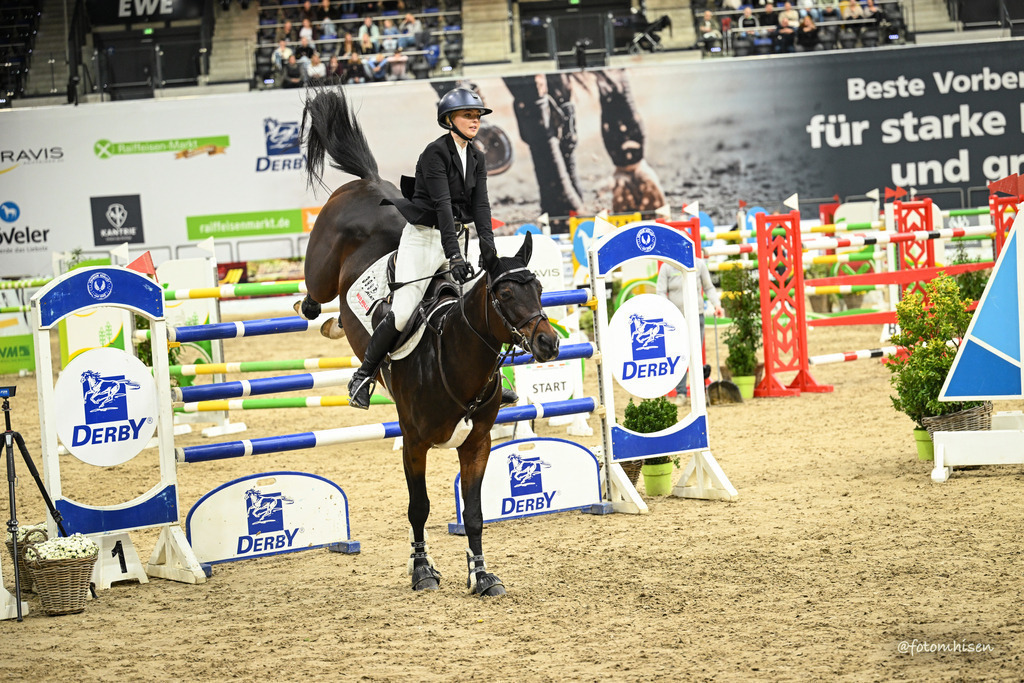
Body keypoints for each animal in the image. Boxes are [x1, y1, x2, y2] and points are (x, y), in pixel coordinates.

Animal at [295, 87, 561, 596]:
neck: (455, 360)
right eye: (504, 294)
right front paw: (422, 571)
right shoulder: (414, 441)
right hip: (320, 268)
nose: (549, 345)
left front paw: (481, 575)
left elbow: (475, 515)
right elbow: (418, 508)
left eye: (538, 286)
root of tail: (367, 183)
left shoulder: (476, 444)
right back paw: (327, 329)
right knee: (313, 297)